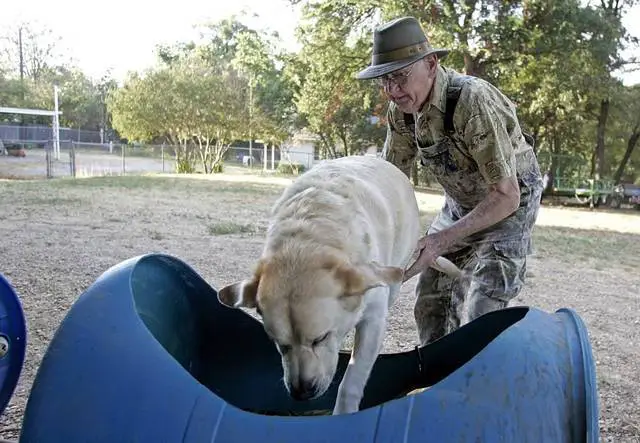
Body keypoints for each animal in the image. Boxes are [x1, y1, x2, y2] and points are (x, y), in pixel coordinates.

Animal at [220, 156, 460, 416]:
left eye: (320, 338)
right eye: (280, 345)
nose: (302, 392)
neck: (305, 239)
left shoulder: (373, 318)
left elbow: (352, 379)